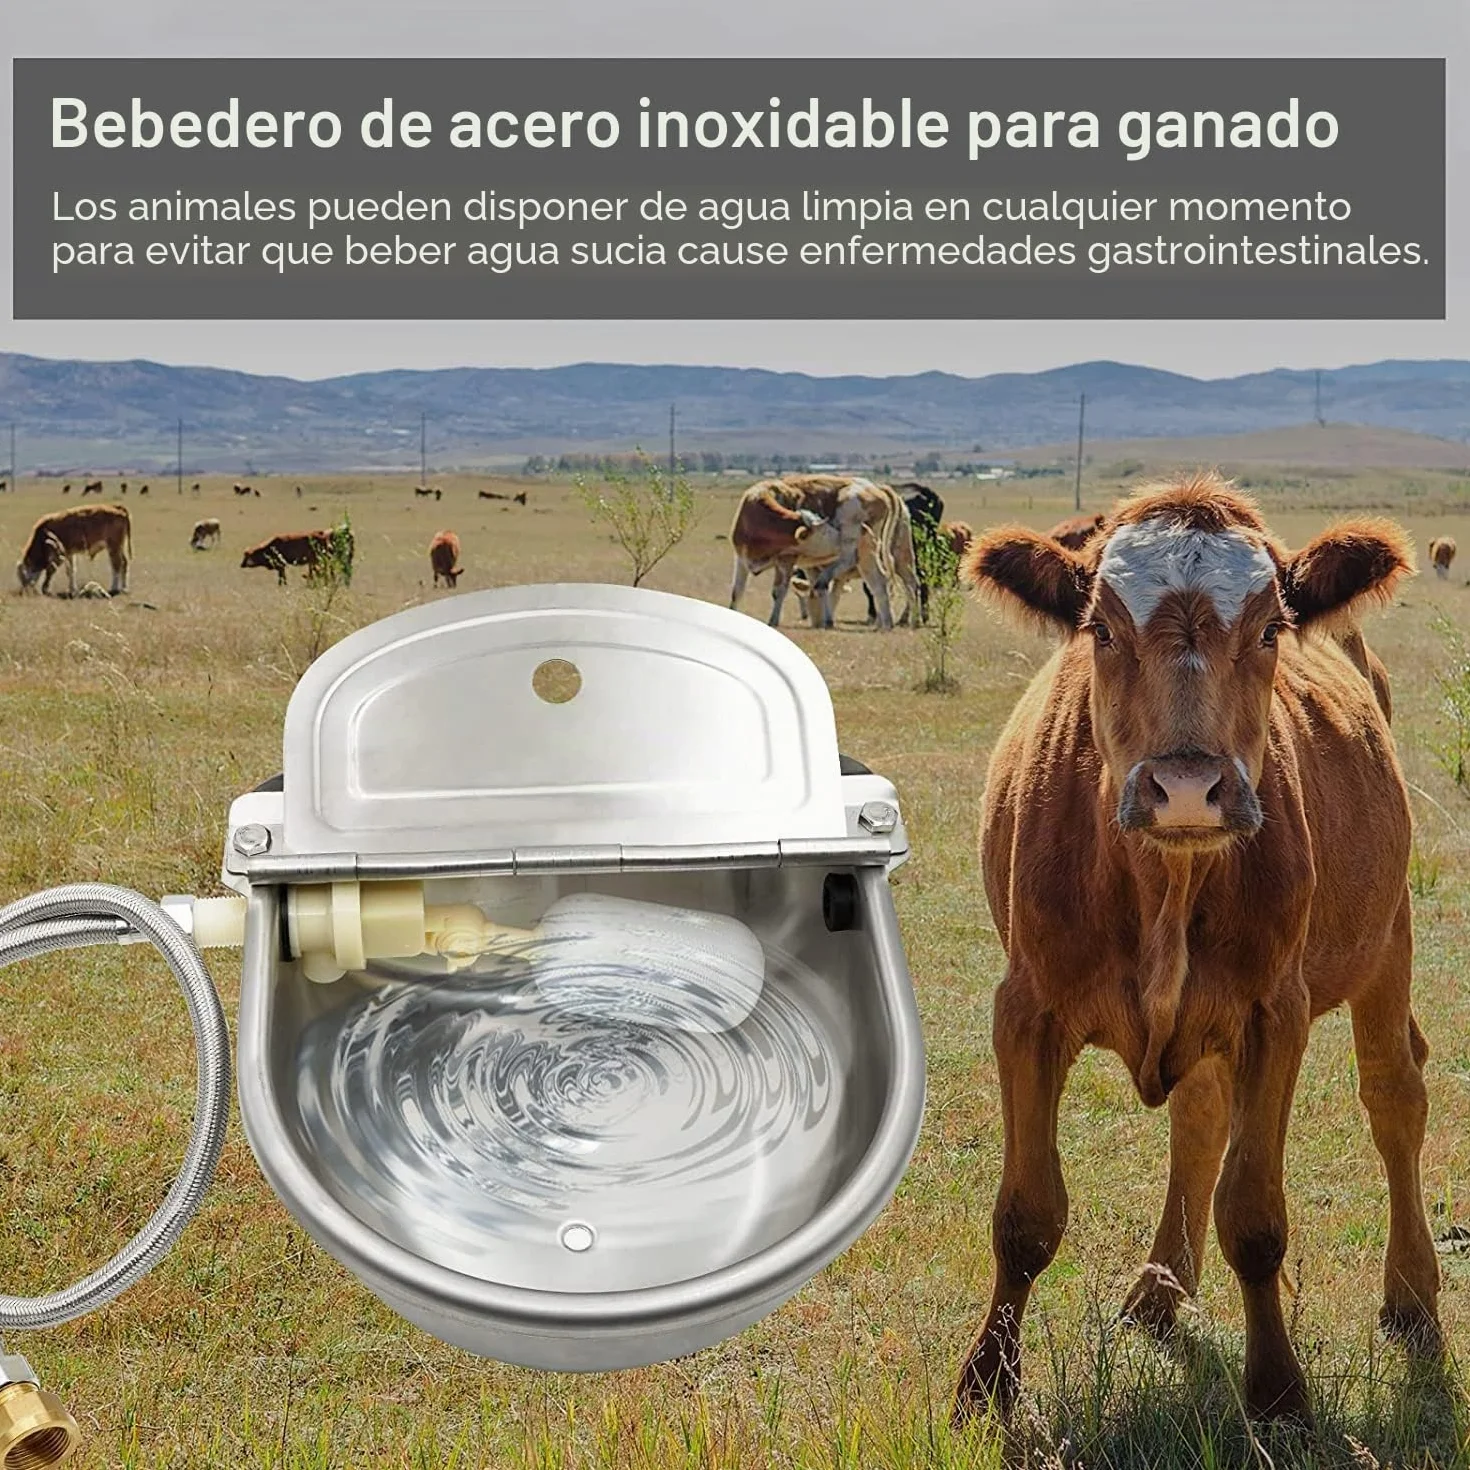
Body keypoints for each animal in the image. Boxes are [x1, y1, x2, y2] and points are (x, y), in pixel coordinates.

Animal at [951, 474, 1436, 1430]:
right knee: (1202, 1116)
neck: (1163, 884)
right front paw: (986, 1383)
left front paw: (1278, 1392)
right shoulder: (1024, 1008)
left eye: (1271, 629)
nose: (1185, 787)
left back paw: (1413, 1298)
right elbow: (1025, 1215)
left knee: (1395, 1095)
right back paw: (1158, 1292)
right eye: (1101, 630)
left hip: (1387, 933)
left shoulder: (1275, 1012)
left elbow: (1255, 1215)